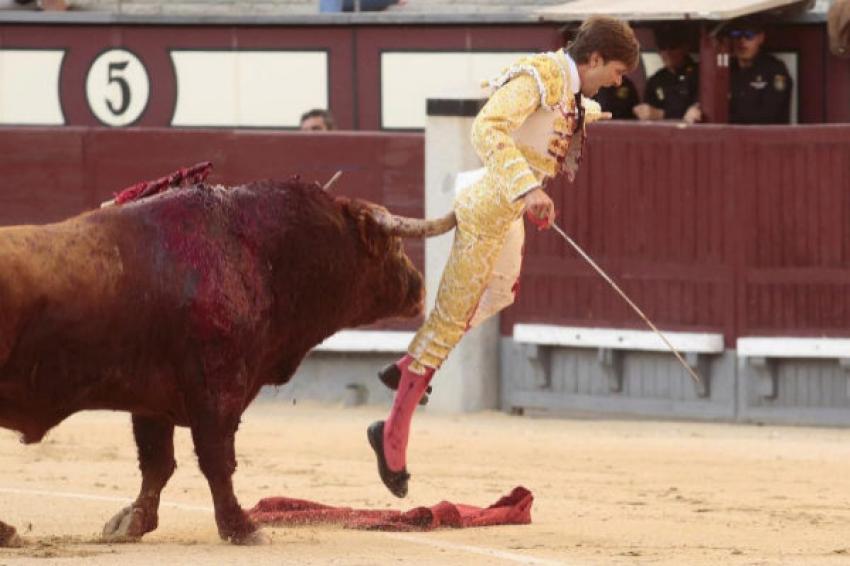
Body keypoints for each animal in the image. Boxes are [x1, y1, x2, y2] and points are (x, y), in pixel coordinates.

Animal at [0, 172, 454, 544]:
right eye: (393, 245)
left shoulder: (151, 401)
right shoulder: (217, 388)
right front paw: (241, 528)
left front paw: (132, 523)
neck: (255, 250)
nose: (419, 288)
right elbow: (216, 459)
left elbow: (157, 463)